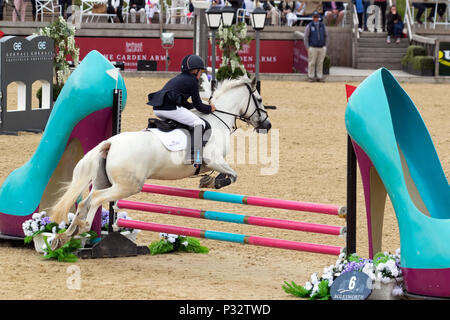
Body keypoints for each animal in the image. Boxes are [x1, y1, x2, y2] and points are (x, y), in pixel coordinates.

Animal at [51, 76, 272, 249]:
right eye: (260, 99)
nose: (267, 125)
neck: (218, 120)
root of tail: (110, 143)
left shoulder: (214, 162)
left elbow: (226, 173)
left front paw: (207, 181)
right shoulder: (214, 159)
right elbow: (233, 175)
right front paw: (216, 182)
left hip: (103, 180)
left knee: (85, 202)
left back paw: (65, 236)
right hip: (127, 186)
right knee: (97, 198)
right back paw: (82, 228)